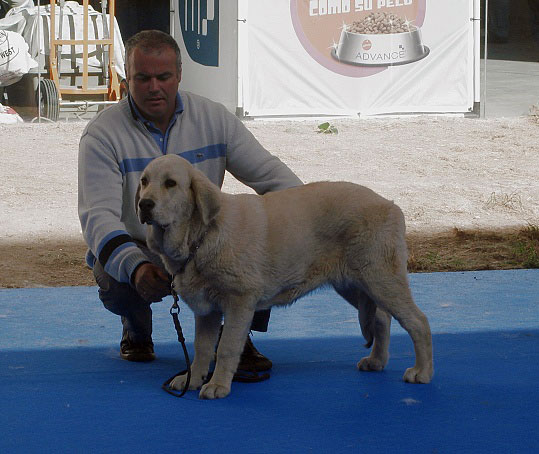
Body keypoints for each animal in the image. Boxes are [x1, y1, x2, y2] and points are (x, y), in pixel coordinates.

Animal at [136, 154, 434, 400]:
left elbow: (226, 348)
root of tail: (392, 205)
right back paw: (377, 361)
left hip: (382, 279)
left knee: (418, 321)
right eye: (144, 181)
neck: (201, 236)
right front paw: (193, 379)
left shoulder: (239, 301)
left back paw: (422, 371)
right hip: (356, 285)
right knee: (382, 319)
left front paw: (218, 385)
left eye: (171, 183)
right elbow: (202, 349)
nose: (144, 204)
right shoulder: (208, 311)